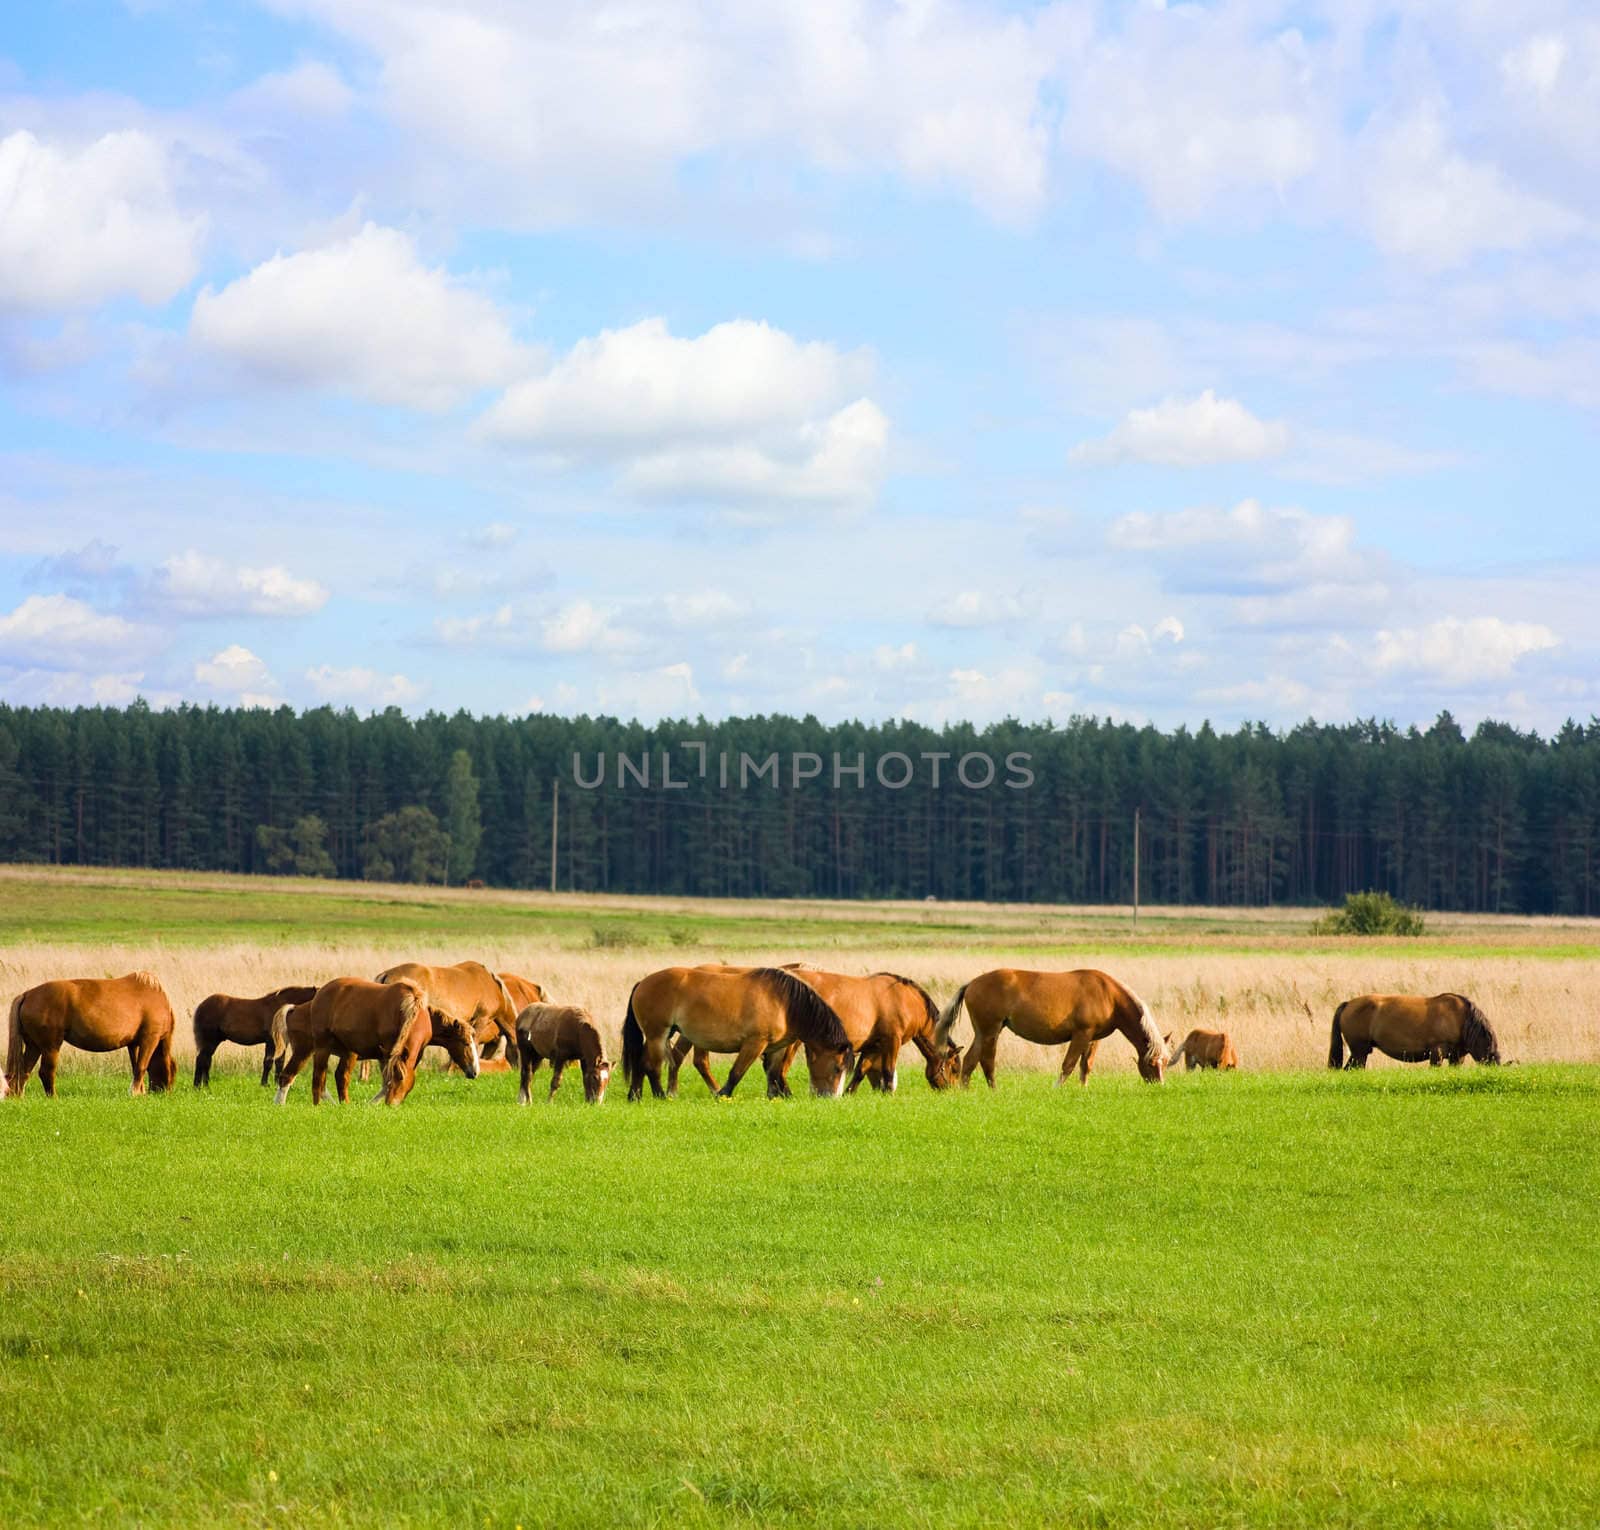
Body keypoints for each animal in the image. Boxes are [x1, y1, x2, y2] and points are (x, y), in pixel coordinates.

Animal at [6, 966, 177, 1101]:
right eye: (174, 1071)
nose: (164, 1093)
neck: (157, 998)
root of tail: (27, 994)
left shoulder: (133, 1044)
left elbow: (135, 1067)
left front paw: (139, 1092)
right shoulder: (149, 1039)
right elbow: (141, 1066)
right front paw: (135, 1093)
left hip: (34, 1046)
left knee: (24, 1071)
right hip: (51, 1046)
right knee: (46, 1072)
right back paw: (53, 1097)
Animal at [272, 985, 480, 1107]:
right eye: (465, 1042)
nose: (474, 1071)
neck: (412, 1012)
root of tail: (295, 1009)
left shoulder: (390, 1056)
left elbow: (386, 1083)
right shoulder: (388, 1053)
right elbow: (386, 1083)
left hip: (338, 1053)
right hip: (311, 1051)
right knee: (303, 1078)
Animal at [620, 966, 857, 1101]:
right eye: (837, 1068)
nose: (832, 1098)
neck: (785, 1002)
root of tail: (643, 983)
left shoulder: (776, 1047)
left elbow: (773, 1072)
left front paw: (775, 1097)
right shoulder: (754, 1044)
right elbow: (737, 1072)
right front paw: (722, 1095)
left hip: (660, 1036)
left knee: (640, 1063)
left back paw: (635, 1096)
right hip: (657, 1035)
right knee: (651, 1066)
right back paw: (660, 1096)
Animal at [1324, 992, 1497, 1062]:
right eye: (1490, 1058)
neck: (1460, 1018)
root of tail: (1348, 1004)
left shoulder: (1457, 1057)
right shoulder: (1437, 1053)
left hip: (1359, 1052)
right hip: (1359, 1052)